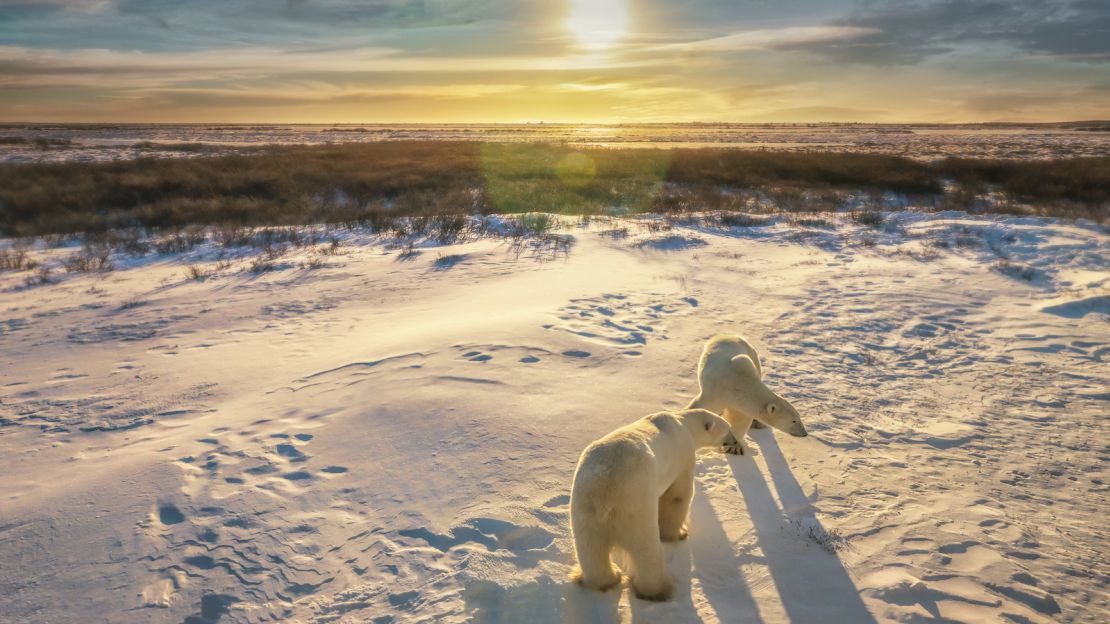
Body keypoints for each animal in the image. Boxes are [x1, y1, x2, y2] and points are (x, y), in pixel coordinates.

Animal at [572, 408, 737, 599]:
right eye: (728, 429)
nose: (734, 441)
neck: (683, 423)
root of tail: (606, 493)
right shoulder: (683, 457)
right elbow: (677, 496)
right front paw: (679, 533)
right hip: (635, 506)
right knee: (646, 551)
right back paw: (659, 589)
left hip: (584, 508)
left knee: (591, 550)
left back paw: (607, 579)